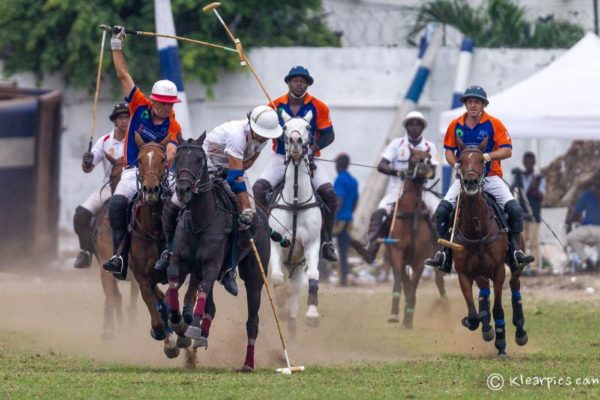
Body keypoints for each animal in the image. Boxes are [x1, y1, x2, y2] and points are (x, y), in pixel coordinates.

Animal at [169, 135, 272, 372]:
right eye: (177, 159)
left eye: (199, 159)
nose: (183, 189)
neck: (199, 221)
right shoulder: (180, 262)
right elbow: (173, 287)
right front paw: (178, 321)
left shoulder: (211, 266)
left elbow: (201, 293)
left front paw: (192, 327)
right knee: (211, 307)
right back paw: (201, 335)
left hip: (254, 276)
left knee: (252, 321)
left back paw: (248, 363)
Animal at [384, 147, 446, 328]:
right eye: (413, 158)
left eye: (429, 157)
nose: (426, 167)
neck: (411, 213)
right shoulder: (396, 253)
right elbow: (400, 281)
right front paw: (395, 313)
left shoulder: (420, 260)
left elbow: (413, 287)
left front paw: (408, 319)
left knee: (439, 281)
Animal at [454, 138, 528, 360]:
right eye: (460, 160)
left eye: (481, 160)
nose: (470, 182)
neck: (477, 228)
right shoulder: (464, 272)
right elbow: (473, 313)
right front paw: (478, 322)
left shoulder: (497, 270)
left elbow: (498, 309)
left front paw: (502, 346)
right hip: (480, 271)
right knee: (484, 292)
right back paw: (486, 327)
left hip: (515, 264)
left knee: (514, 285)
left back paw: (520, 331)